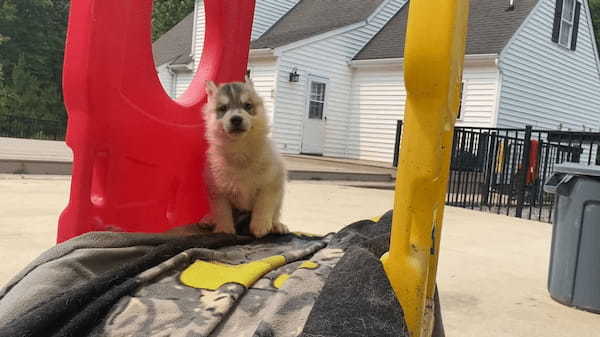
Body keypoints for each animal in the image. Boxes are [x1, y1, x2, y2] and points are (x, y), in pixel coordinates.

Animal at [203, 77, 290, 238]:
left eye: (247, 105)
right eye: (223, 108)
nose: (236, 119)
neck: (240, 150)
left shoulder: (271, 183)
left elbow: (264, 204)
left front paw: (260, 225)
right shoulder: (218, 189)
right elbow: (222, 211)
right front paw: (224, 228)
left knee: (275, 214)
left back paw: (277, 225)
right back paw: (210, 219)